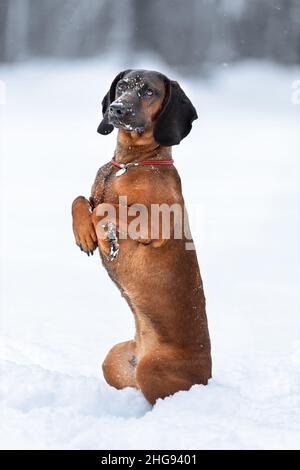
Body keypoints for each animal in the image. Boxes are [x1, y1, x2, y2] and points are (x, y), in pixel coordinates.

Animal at [72, 69, 211, 404]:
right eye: (122, 86)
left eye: (149, 92)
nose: (117, 109)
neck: (129, 164)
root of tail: (208, 379)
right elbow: (81, 199)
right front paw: (85, 234)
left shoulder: (155, 223)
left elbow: (106, 207)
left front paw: (107, 238)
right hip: (114, 360)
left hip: (153, 368)